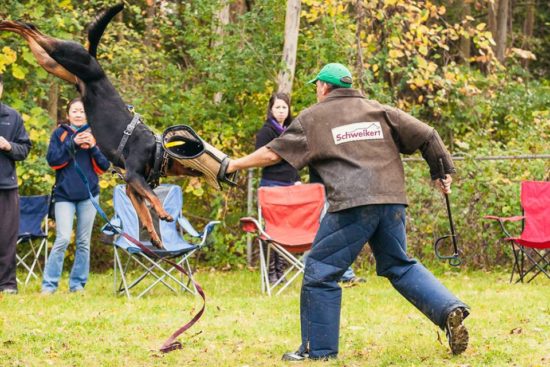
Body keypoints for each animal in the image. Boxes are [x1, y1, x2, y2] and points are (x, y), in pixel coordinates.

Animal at [0, 4, 204, 249]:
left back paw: (6, 24)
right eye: (192, 151)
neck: (155, 149)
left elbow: (144, 213)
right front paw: (163, 213)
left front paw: (154, 236)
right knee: (31, 28)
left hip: (55, 66)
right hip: (70, 56)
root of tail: (95, 64)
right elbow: (153, 198)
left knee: (33, 36)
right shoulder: (134, 177)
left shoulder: (132, 187)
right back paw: (7, 23)